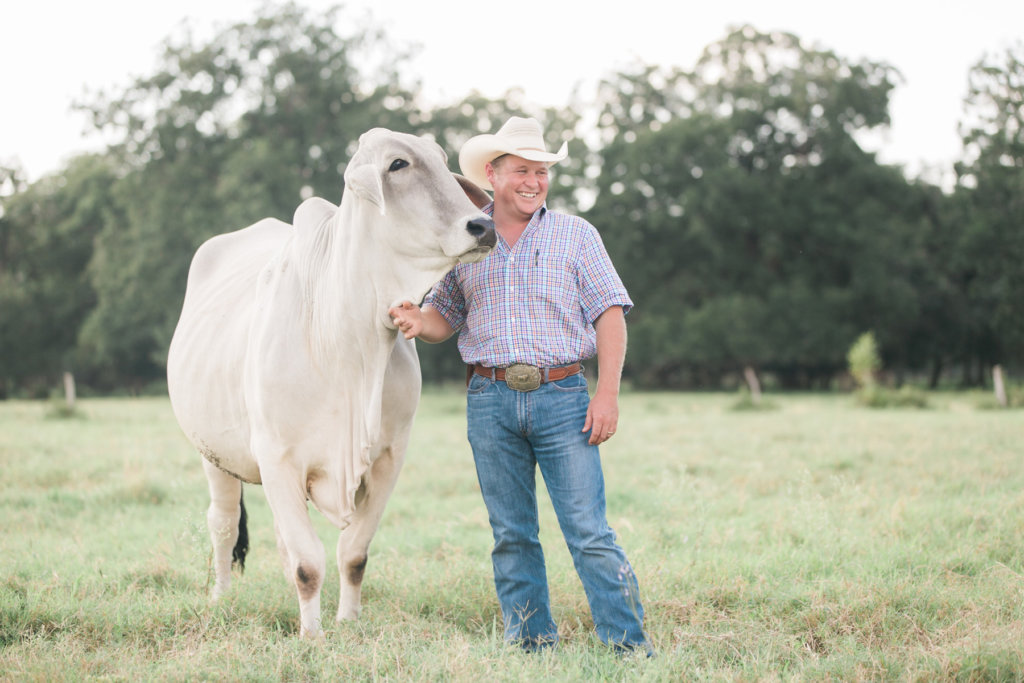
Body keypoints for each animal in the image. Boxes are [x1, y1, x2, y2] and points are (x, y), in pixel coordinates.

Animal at [166, 128, 496, 638]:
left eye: (444, 162)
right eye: (397, 164)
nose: (483, 226)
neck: (346, 344)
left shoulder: (388, 458)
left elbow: (353, 554)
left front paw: (347, 620)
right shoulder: (278, 458)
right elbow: (308, 563)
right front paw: (312, 635)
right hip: (213, 455)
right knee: (222, 524)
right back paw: (220, 598)